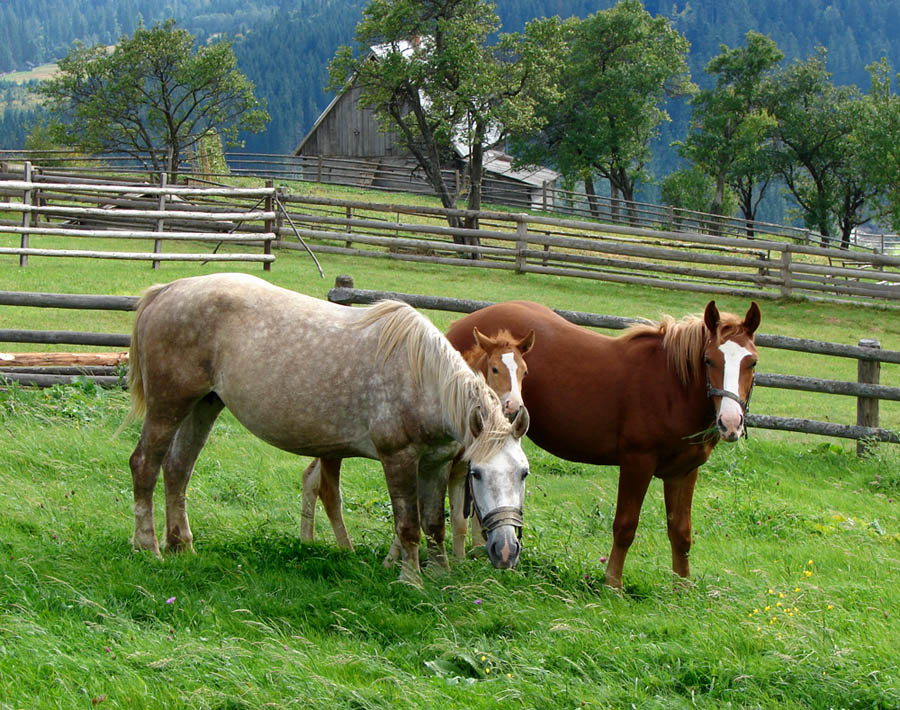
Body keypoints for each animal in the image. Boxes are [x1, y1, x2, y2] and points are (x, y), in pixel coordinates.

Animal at [300, 326, 536, 560]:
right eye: (495, 369)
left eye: (524, 371)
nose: (515, 406)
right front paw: (392, 561)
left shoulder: (460, 470)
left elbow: (461, 520)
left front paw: (461, 561)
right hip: (333, 451)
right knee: (328, 492)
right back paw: (343, 549)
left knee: (310, 477)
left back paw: (306, 541)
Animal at [442, 300, 760, 588]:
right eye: (709, 360)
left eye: (752, 362)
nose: (730, 422)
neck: (672, 387)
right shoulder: (637, 462)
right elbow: (625, 525)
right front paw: (612, 584)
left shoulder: (683, 472)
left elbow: (681, 532)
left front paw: (681, 589)